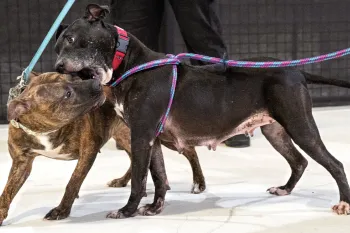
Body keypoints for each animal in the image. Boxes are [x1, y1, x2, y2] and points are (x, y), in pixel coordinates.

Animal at [54, 4, 350, 218]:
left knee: (334, 163)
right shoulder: (153, 140)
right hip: (274, 131)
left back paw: (344, 203)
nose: (57, 66)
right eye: (58, 46)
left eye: (72, 39)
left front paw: (127, 211)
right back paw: (285, 189)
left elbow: (139, 179)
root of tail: (295, 70)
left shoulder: (141, 137)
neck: (130, 64)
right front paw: (155, 207)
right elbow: (159, 176)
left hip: (300, 127)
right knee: (299, 161)